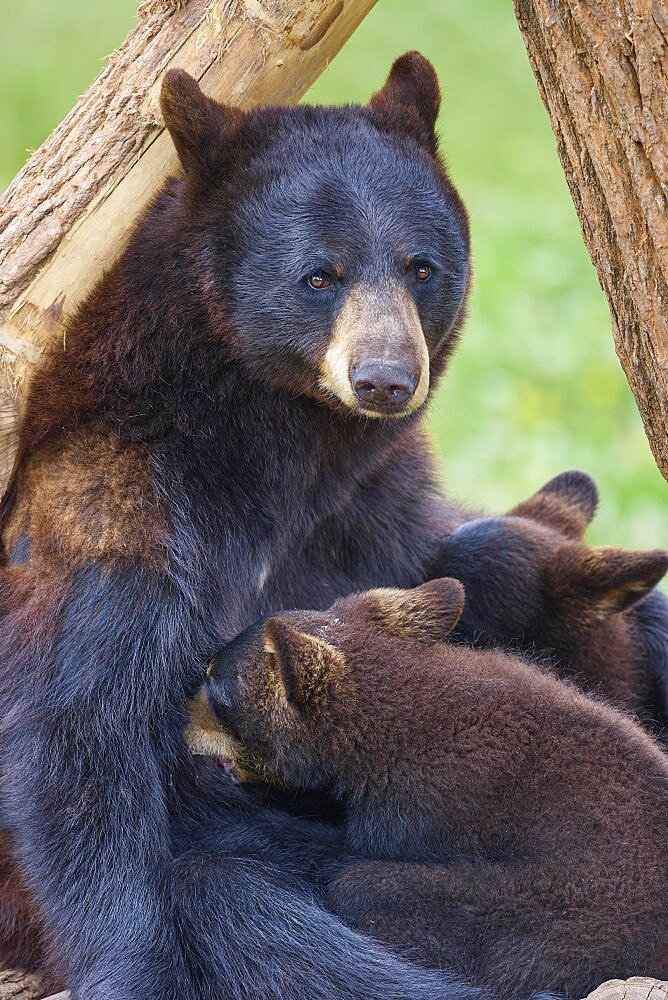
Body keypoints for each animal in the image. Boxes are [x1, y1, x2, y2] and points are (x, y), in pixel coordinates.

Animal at [0, 52, 500, 1000]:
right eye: (320, 275)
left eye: (420, 267)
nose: (385, 377)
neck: (278, 451)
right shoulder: (116, 503)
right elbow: (77, 737)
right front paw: (131, 969)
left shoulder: (372, 504)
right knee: (237, 901)